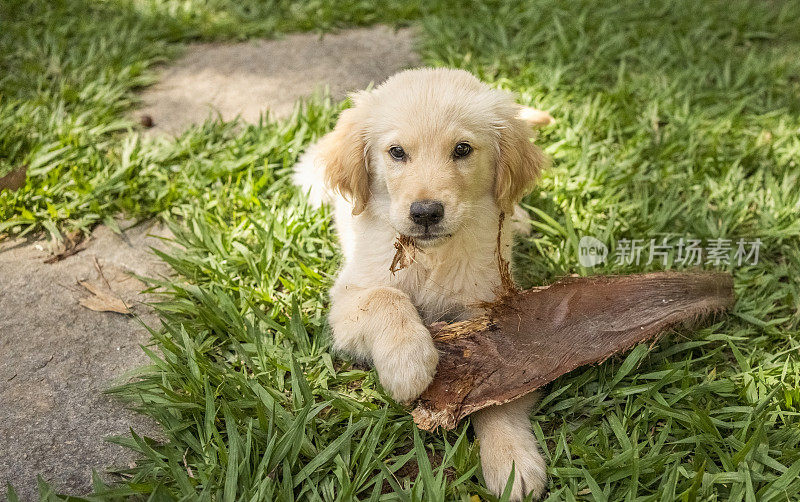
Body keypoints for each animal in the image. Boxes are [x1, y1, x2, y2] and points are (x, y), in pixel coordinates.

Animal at [294, 67, 552, 502]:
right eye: (397, 152)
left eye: (462, 149)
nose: (426, 213)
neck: (433, 256)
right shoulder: (348, 299)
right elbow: (387, 297)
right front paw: (408, 363)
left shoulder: (492, 309)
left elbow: (500, 391)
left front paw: (511, 458)